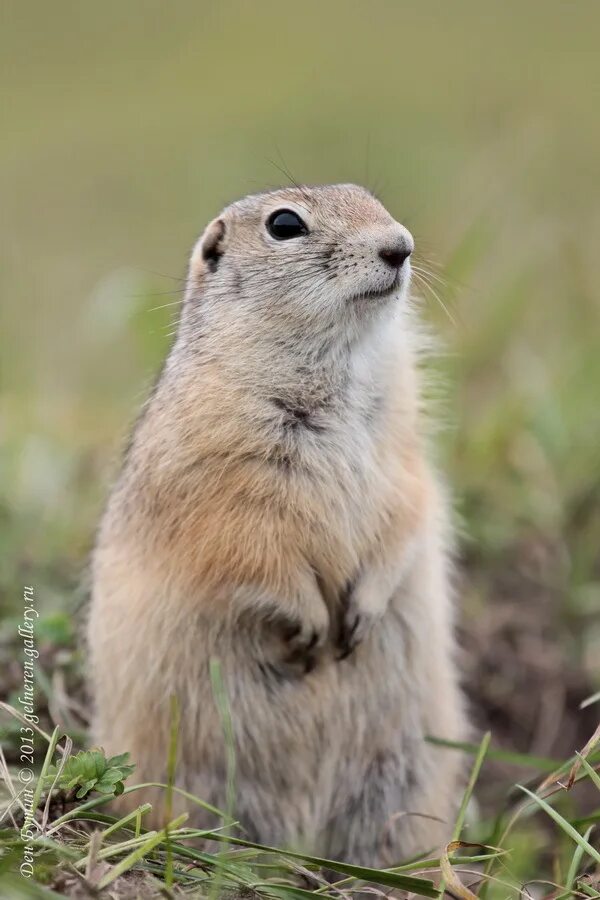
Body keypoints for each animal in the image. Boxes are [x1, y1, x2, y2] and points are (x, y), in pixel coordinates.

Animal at [89, 183, 466, 864]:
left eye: (370, 196)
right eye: (284, 225)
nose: (400, 246)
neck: (335, 362)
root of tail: (302, 843)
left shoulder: (403, 447)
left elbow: (410, 511)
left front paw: (362, 612)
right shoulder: (225, 486)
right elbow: (254, 551)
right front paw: (315, 627)